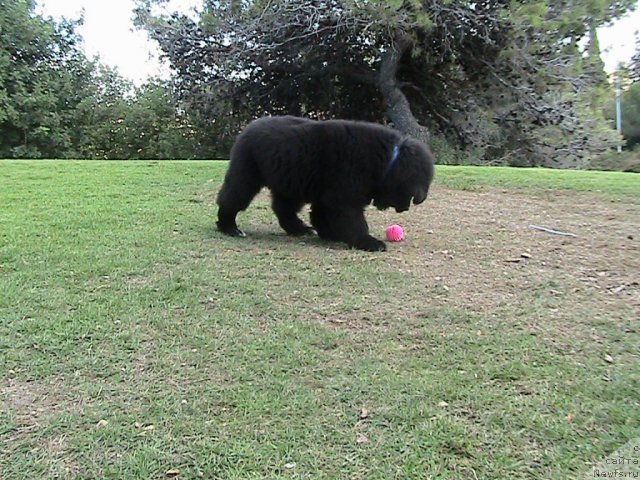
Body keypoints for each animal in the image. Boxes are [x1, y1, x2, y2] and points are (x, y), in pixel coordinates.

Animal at [216, 116, 436, 251]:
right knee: (232, 198)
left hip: (291, 180)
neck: (388, 160)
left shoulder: (327, 195)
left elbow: (320, 215)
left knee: (283, 209)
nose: (406, 208)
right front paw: (367, 242)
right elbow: (353, 220)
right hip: (247, 171)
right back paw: (230, 228)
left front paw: (330, 234)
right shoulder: (344, 196)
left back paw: (298, 229)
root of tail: (249, 126)